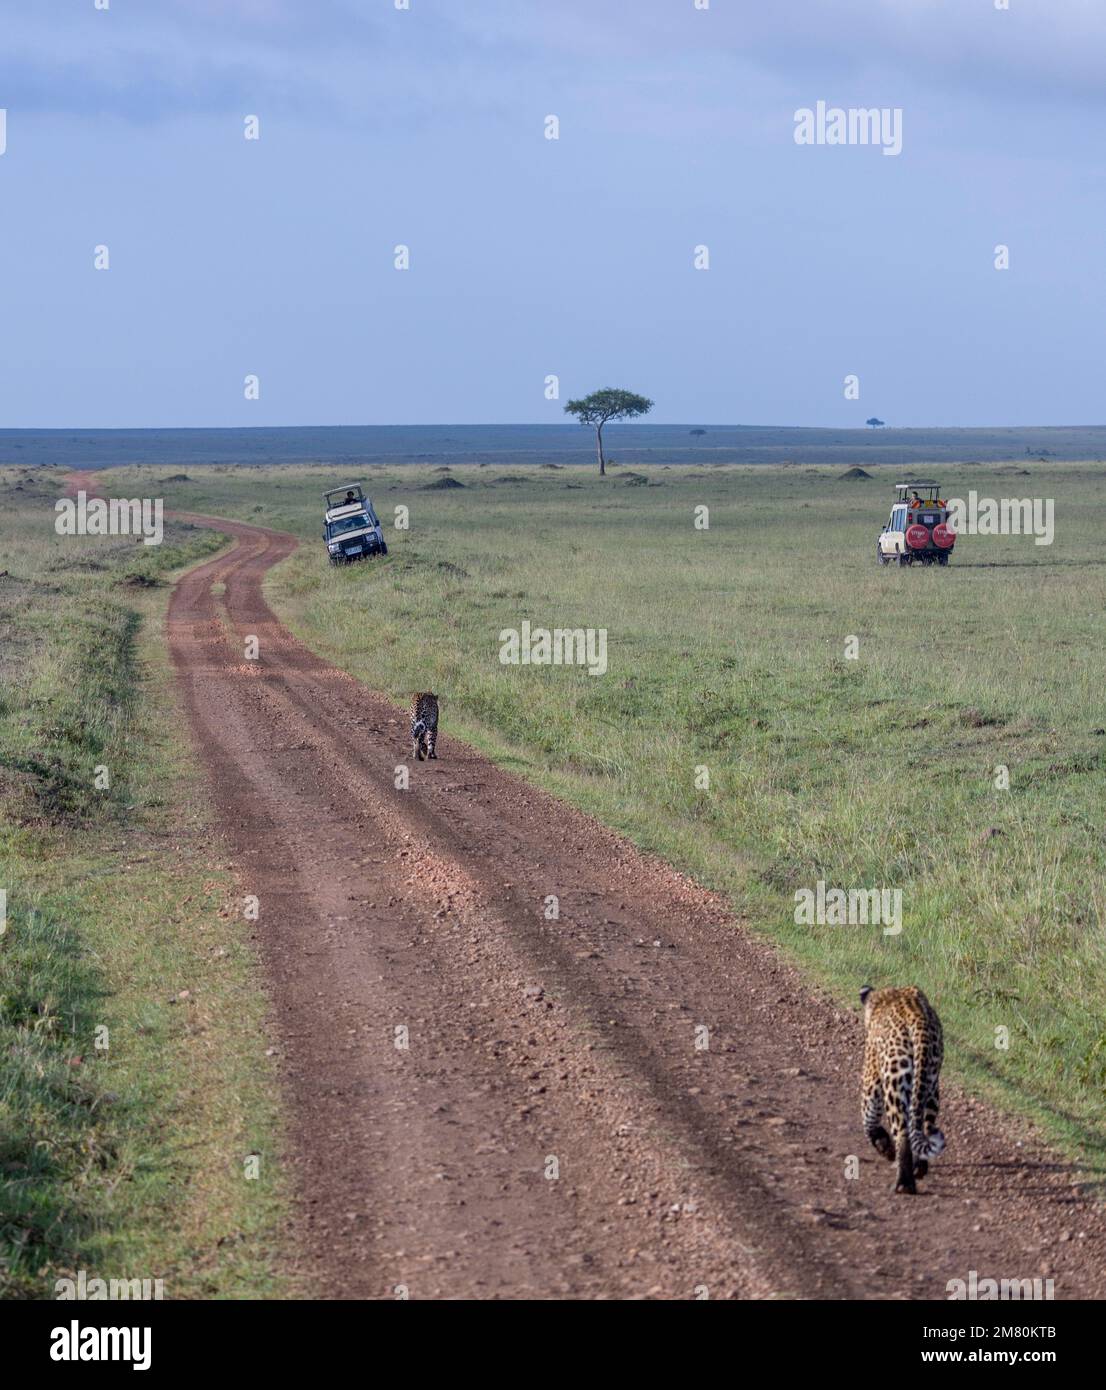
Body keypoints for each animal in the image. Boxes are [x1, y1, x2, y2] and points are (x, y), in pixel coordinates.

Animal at [861, 989, 944, 1195]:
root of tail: (920, 1025)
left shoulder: (871, 1078)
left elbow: (869, 1119)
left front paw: (883, 1146)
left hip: (894, 1083)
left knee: (903, 1133)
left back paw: (904, 1183)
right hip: (929, 1084)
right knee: (924, 1127)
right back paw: (919, 1169)